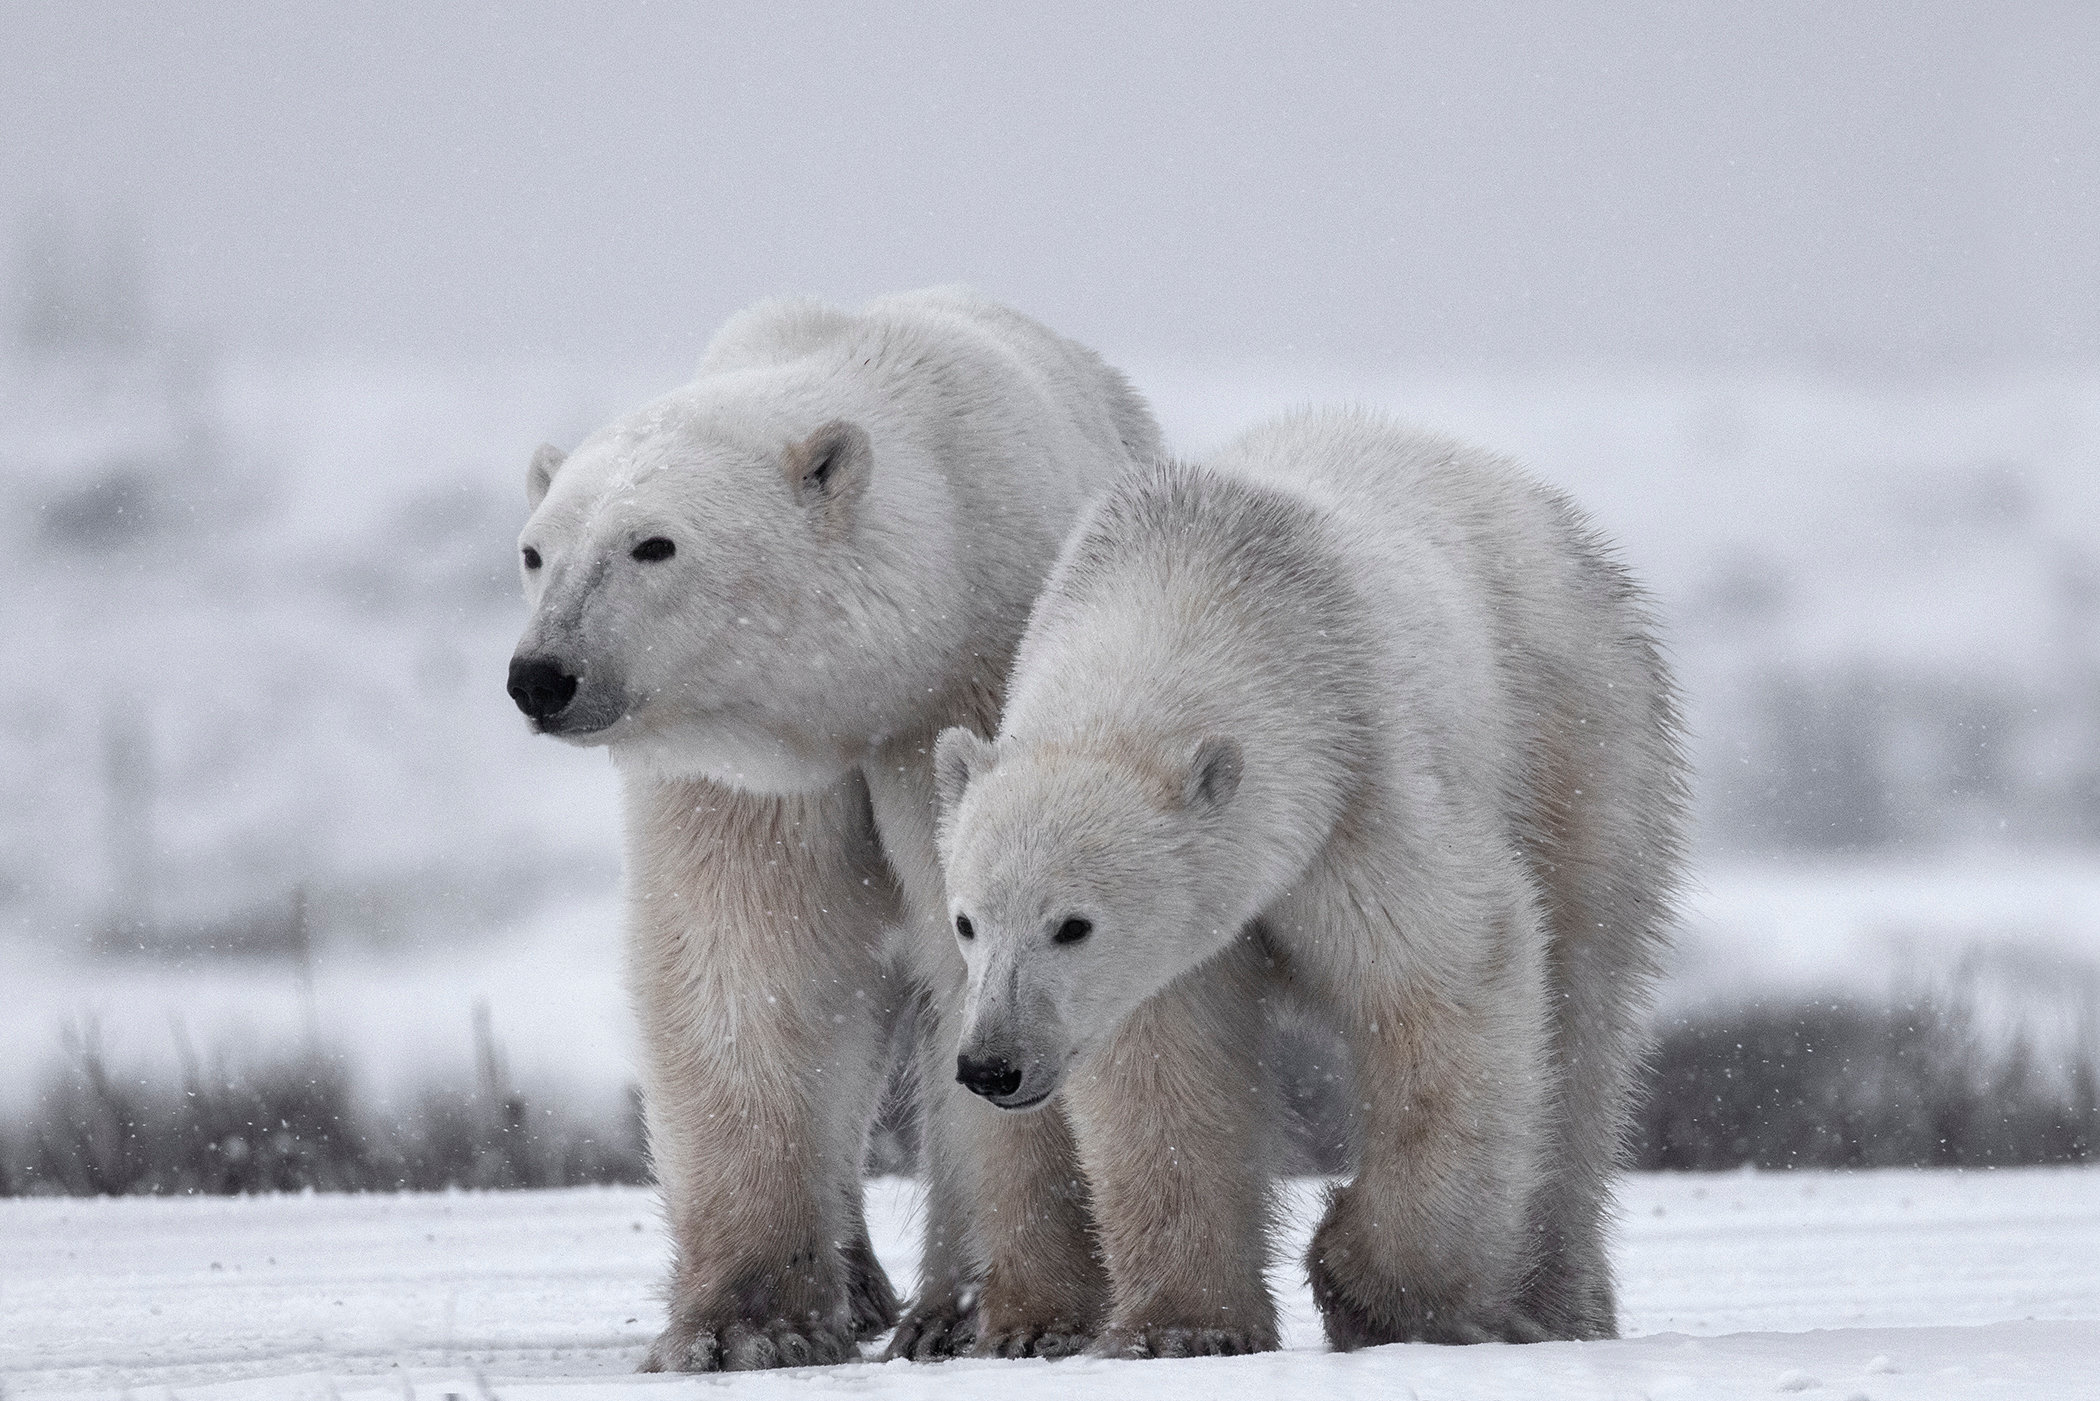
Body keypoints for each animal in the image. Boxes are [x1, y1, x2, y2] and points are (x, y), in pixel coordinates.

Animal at [508, 289, 1167, 1377]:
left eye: (653, 544)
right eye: (533, 550)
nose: (541, 676)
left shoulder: (972, 689)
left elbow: (992, 953)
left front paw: (1031, 1316)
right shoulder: (745, 770)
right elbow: (750, 963)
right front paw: (745, 1326)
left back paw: (937, 1310)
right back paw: (860, 1288)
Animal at [936, 407, 1688, 1361]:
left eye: (1073, 923)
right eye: (967, 921)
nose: (992, 1064)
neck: (1199, 578)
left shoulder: (1358, 784)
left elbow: (1450, 977)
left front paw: (1365, 1289)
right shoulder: (1179, 939)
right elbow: (1166, 1066)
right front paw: (1183, 1328)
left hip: (1578, 739)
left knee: (1583, 1008)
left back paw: (1551, 1304)